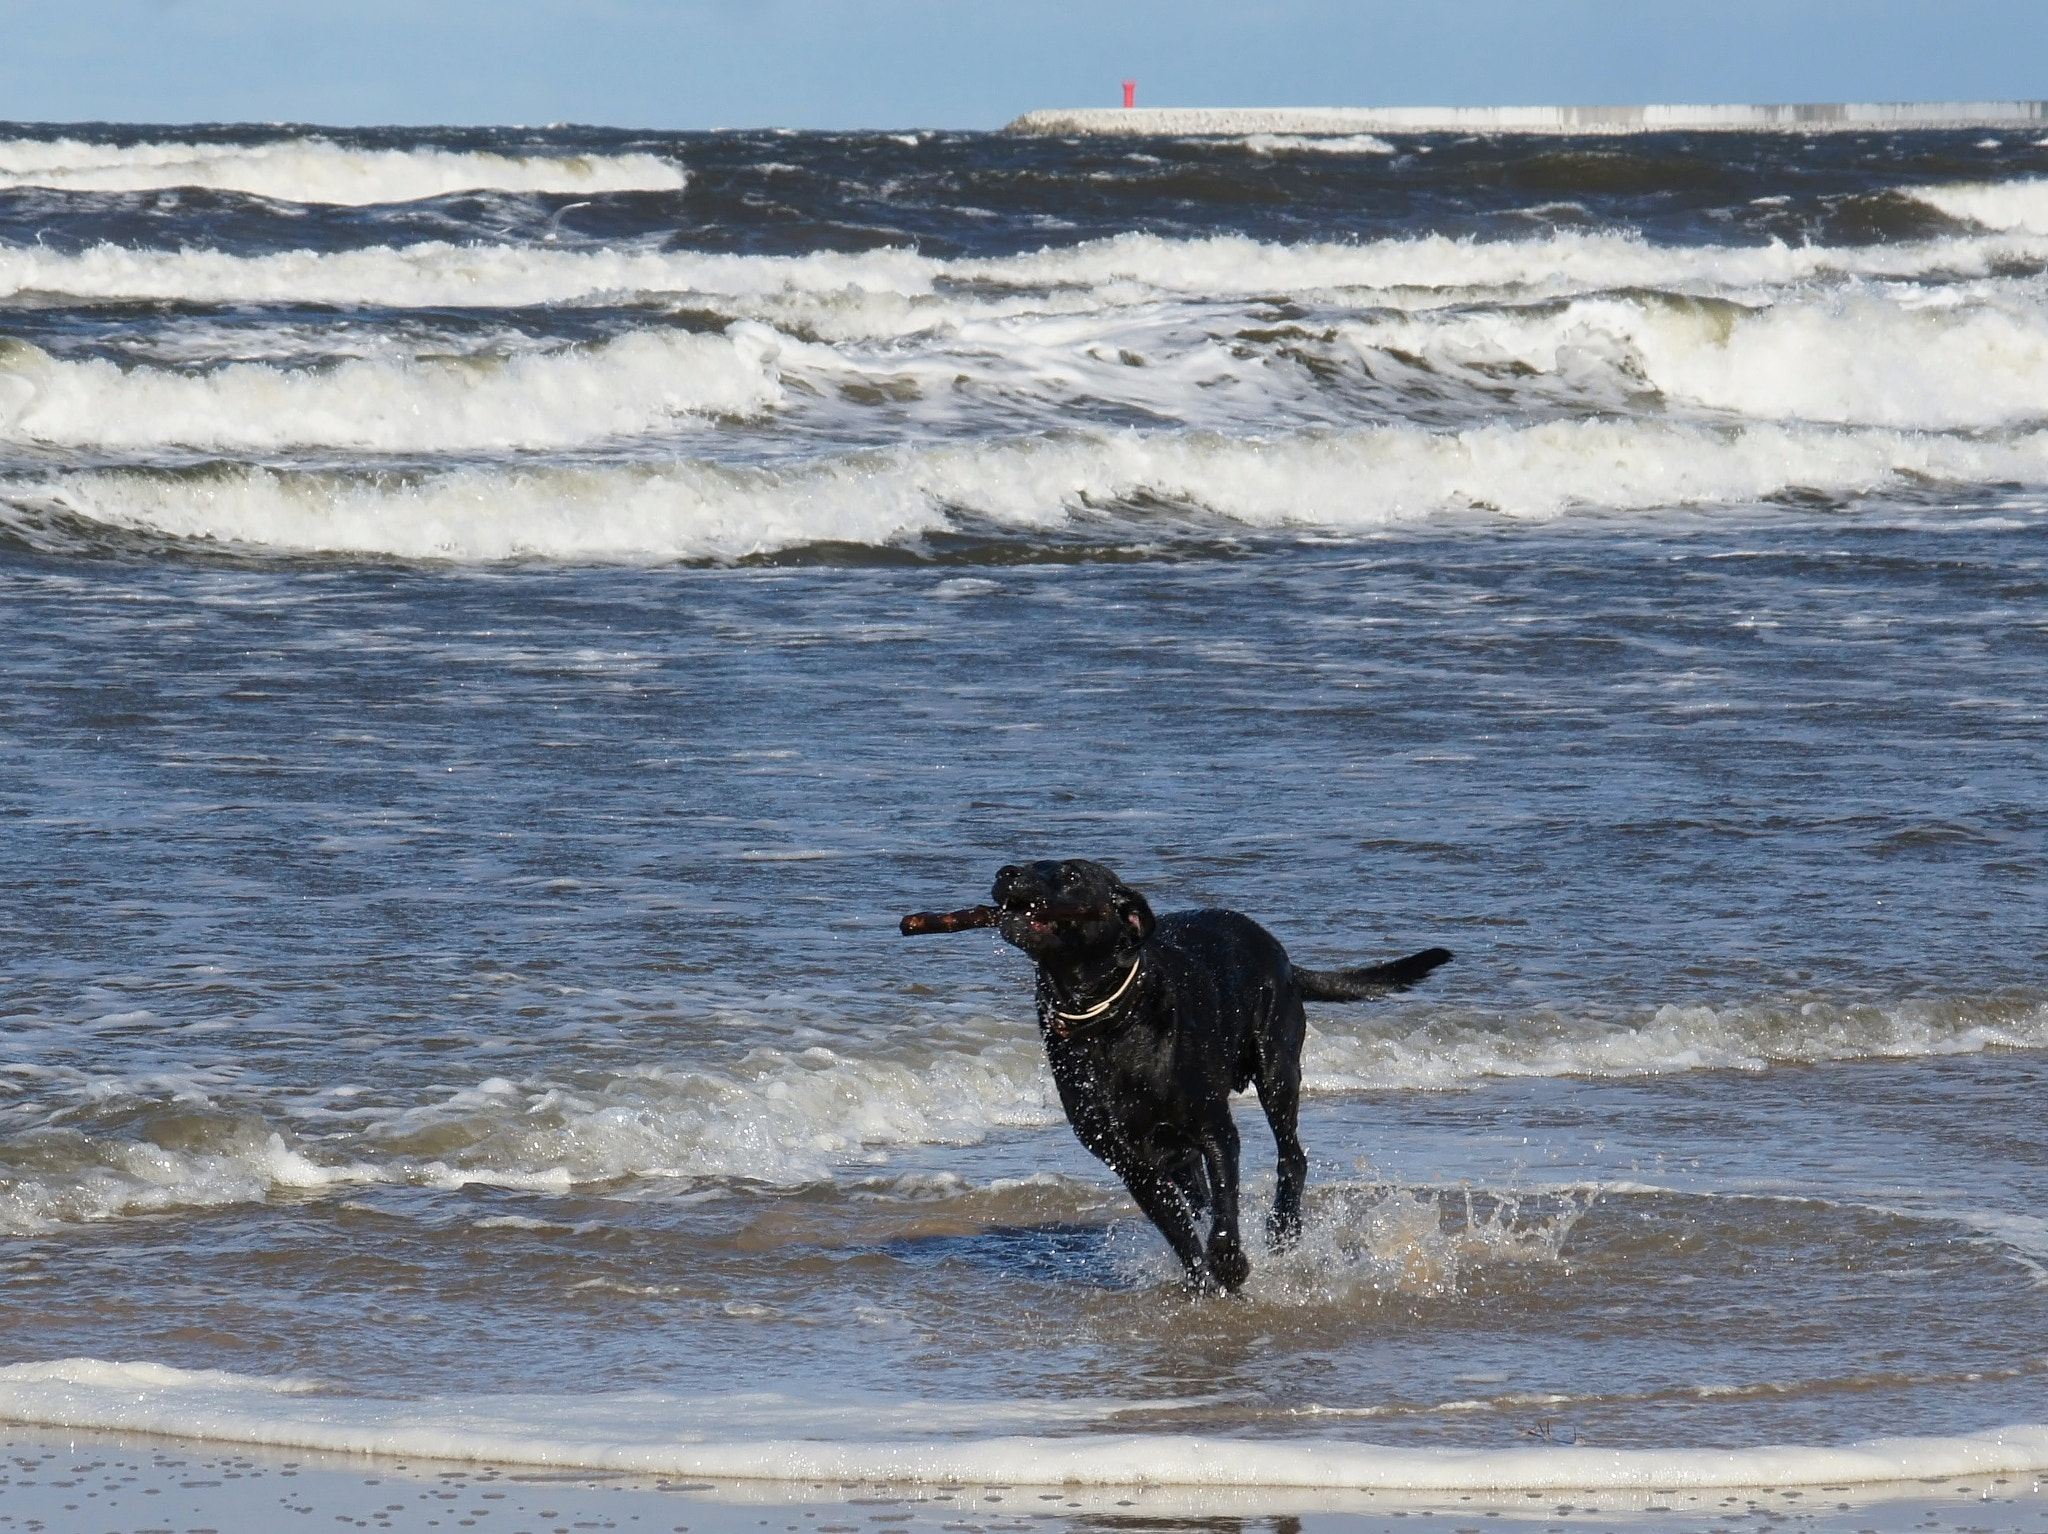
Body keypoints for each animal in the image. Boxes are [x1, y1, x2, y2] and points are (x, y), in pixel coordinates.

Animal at [995, 860, 1458, 1294]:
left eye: (1072, 875)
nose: (1005, 872)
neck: (1108, 1023)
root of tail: (1283, 956)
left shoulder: (1215, 1129)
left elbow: (1223, 1206)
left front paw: (1230, 1263)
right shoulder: (1133, 1165)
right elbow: (1179, 1229)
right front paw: (1201, 1281)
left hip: (1276, 1068)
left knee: (1292, 1158)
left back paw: (1283, 1230)